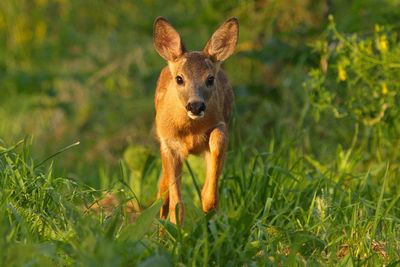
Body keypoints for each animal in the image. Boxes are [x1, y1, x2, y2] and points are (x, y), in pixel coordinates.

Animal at [154, 16, 239, 225]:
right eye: (179, 78)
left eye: (210, 79)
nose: (196, 106)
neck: (189, 131)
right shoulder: (169, 144)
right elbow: (176, 203)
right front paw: (176, 227)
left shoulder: (221, 126)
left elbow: (217, 143)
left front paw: (209, 204)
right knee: (162, 194)